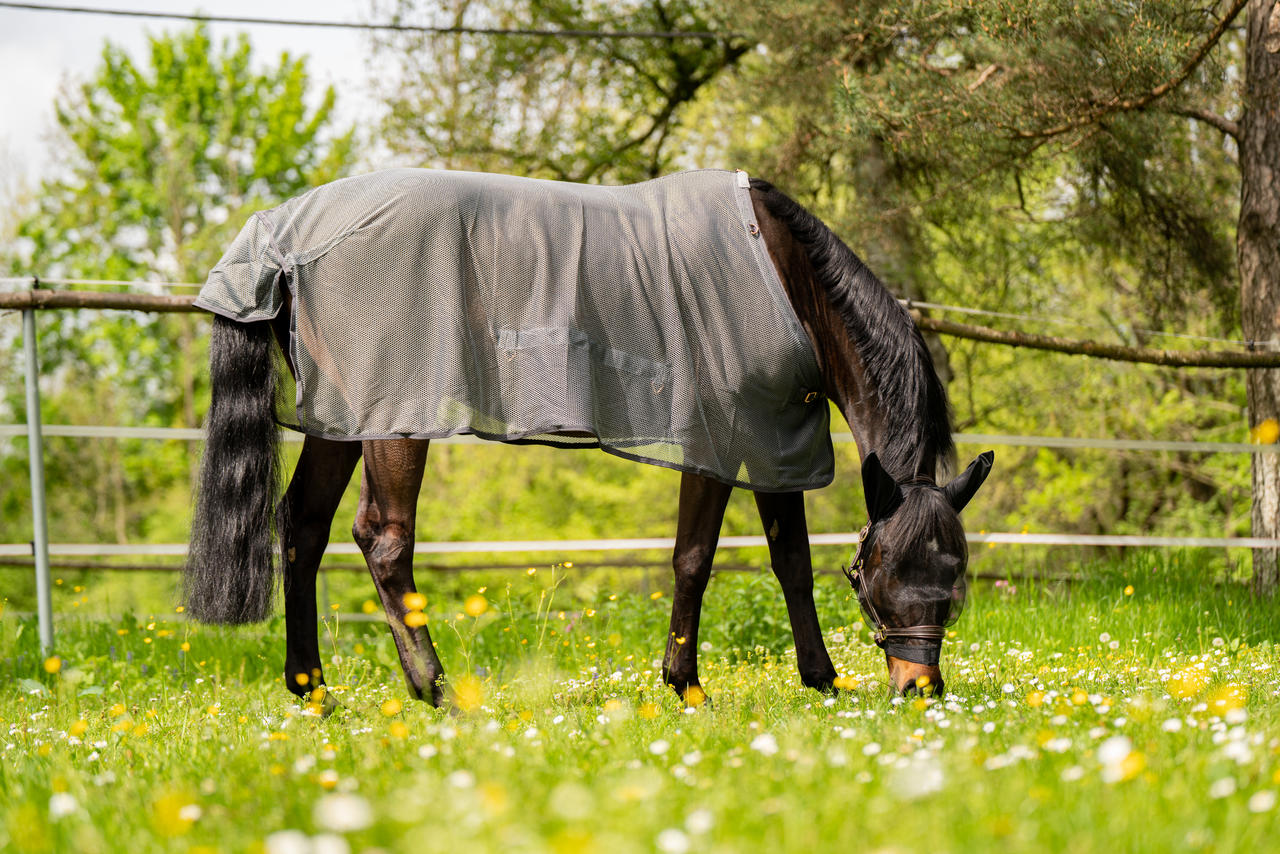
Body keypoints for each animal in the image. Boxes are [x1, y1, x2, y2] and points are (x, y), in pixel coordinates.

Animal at [185, 166, 993, 701]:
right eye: (881, 571)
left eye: (954, 575)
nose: (920, 687)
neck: (784, 276)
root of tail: (286, 232)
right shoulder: (723, 437)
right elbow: (694, 559)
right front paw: (686, 687)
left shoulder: (775, 440)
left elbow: (790, 560)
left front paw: (821, 683)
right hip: (393, 419)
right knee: (382, 542)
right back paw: (437, 690)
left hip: (341, 418)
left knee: (303, 525)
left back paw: (311, 688)